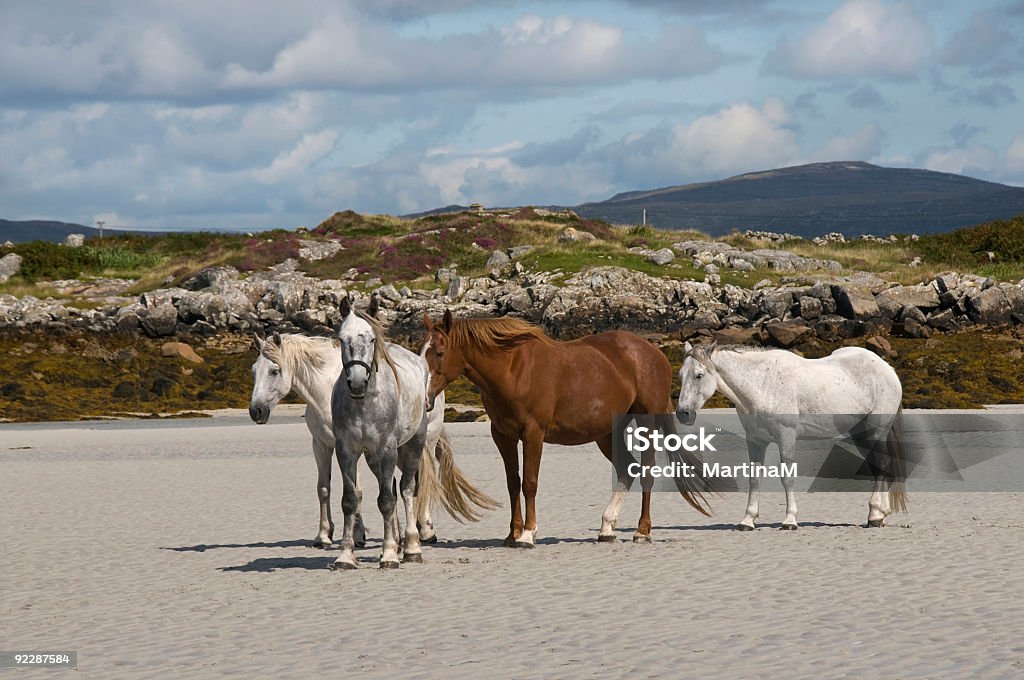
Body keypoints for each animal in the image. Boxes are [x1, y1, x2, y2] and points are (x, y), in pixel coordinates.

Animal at [245, 327, 489, 548]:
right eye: (254, 370)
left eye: (274, 371)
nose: (256, 411)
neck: (326, 392)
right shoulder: (322, 445)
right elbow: (323, 488)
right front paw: (323, 535)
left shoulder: (355, 449)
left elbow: (358, 491)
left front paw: (357, 535)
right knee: (394, 484)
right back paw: (400, 535)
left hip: (423, 444)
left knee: (424, 481)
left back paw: (425, 531)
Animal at [419, 311, 716, 548]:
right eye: (422, 353)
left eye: (440, 353)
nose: (426, 399)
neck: (513, 370)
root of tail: (655, 354)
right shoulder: (502, 436)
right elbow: (513, 483)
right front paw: (512, 534)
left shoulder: (533, 434)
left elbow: (529, 483)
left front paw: (528, 534)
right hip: (607, 433)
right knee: (625, 468)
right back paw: (606, 527)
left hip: (646, 423)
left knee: (645, 472)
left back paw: (642, 531)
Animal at [679, 342, 905, 528]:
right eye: (681, 375)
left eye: (699, 375)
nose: (683, 413)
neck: (762, 383)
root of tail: (887, 369)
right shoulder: (755, 440)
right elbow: (754, 478)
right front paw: (748, 520)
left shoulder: (785, 437)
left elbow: (787, 477)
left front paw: (789, 520)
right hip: (861, 435)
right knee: (879, 466)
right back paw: (881, 514)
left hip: (876, 431)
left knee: (882, 465)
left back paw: (875, 515)